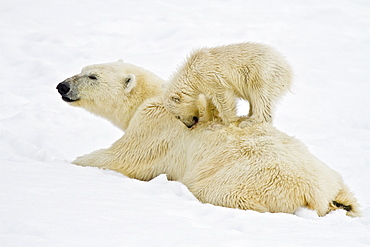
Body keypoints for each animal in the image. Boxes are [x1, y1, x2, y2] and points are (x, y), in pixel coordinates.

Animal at [56, 60, 360, 217]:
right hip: (333, 176)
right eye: (83, 68)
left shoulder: (153, 126)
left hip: (245, 180)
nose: (62, 85)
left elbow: (122, 158)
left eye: (92, 76)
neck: (155, 97)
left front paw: (73, 162)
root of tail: (319, 195)